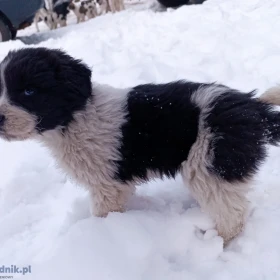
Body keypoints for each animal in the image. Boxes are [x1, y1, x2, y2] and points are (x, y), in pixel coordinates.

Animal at [0, 47, 280, 244]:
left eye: (29, 91)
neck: (76, 116)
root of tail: (254, 108)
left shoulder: (107, 186)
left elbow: (103, 212)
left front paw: (100, 232)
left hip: (210, 163)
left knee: (232, 215)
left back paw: (215, 243)